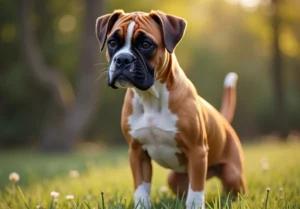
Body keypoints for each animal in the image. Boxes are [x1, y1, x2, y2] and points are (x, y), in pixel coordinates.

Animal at [95, 10, 246, 209]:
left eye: (146, 44)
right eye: (112, 43)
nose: (122, 59)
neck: (150, 97)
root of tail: (223, 121)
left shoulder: (197, 151)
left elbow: (196, 192)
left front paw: (195, 205)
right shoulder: (137, 153)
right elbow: (141, 188)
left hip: (231, 173)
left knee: (233, 191)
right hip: (173, 178)